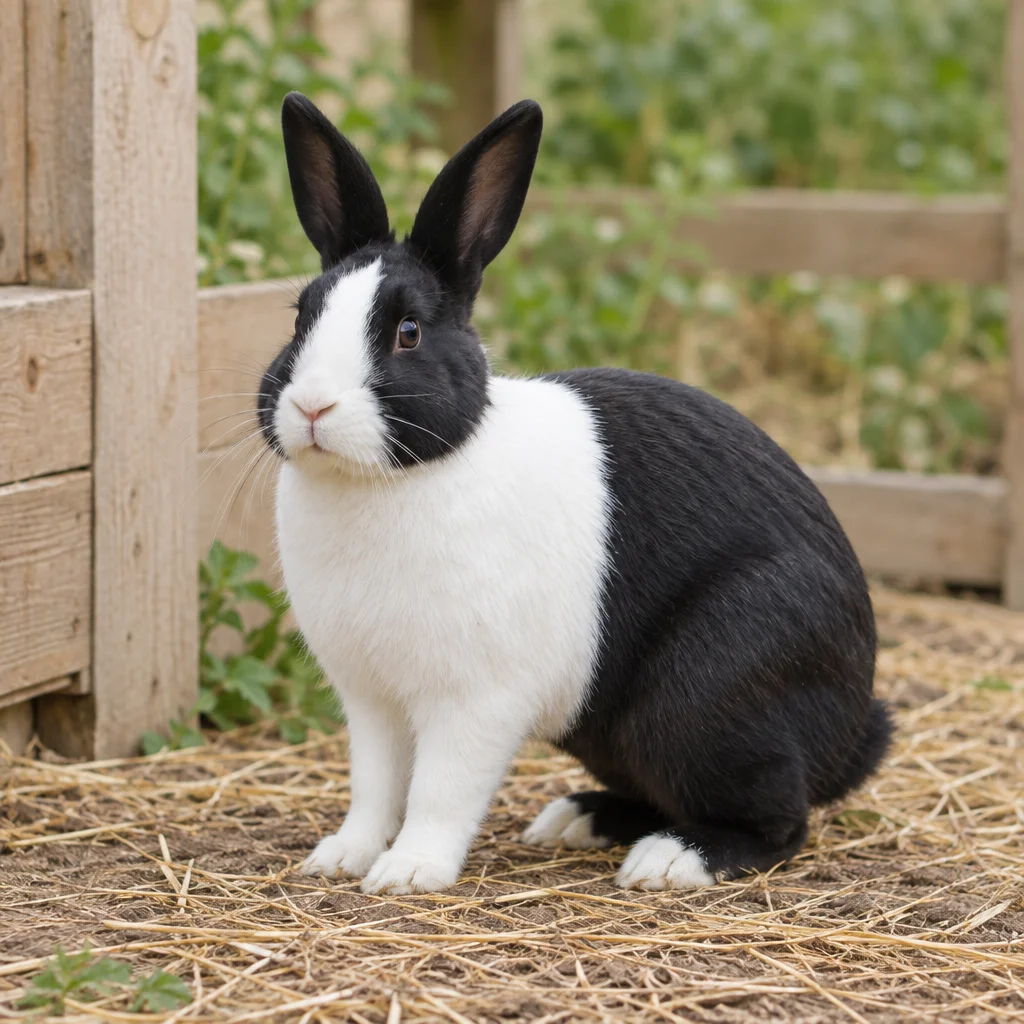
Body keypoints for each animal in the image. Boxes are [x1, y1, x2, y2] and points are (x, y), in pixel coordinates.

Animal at [257, 91, 891, 895]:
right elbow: (374, 787)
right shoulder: (370, 699)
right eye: (300, 317)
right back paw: (577, 819)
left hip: (712, 692)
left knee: (778, 818)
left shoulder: (475, 700)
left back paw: (670, 859)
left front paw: (409, 872)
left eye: (407, 332)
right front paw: (342, 858)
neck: (392, 480)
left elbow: (439, 790)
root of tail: (853, 730)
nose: (312, 407)